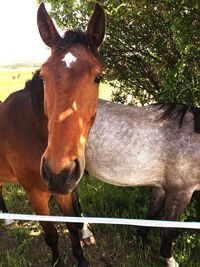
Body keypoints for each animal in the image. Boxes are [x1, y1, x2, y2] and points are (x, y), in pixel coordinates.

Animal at [0, 2, 105, 267]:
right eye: (44, 76)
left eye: (98, 77)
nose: (57, 171)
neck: (33, 130)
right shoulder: (36, 195)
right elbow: (51, 235)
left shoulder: (65, 190)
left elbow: (72, 227)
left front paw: (81, 259)